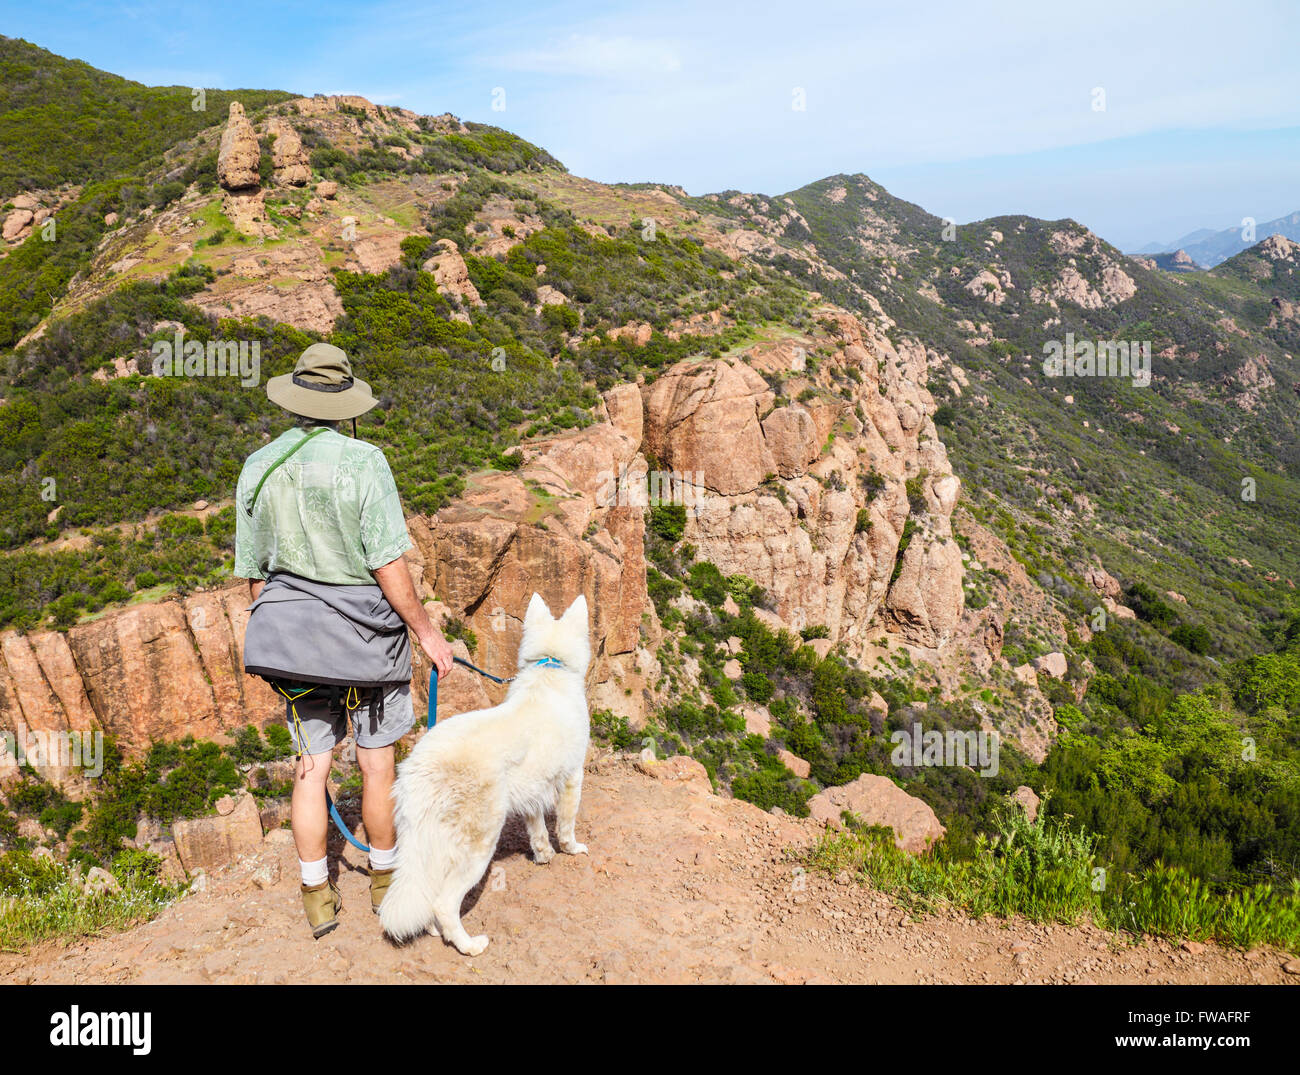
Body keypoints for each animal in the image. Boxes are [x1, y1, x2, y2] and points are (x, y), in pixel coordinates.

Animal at [379, 592, 592, 956]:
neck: (551, 665)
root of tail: (418, 768)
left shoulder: (533, 788)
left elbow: (537, 829)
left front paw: (544, 856)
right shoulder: (571, 777)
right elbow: (565, 825)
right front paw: (571, 849)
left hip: (427, 842)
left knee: (428, 893)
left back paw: (435, 931)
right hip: (478, 847)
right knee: (444, 903)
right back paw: (468, 945)